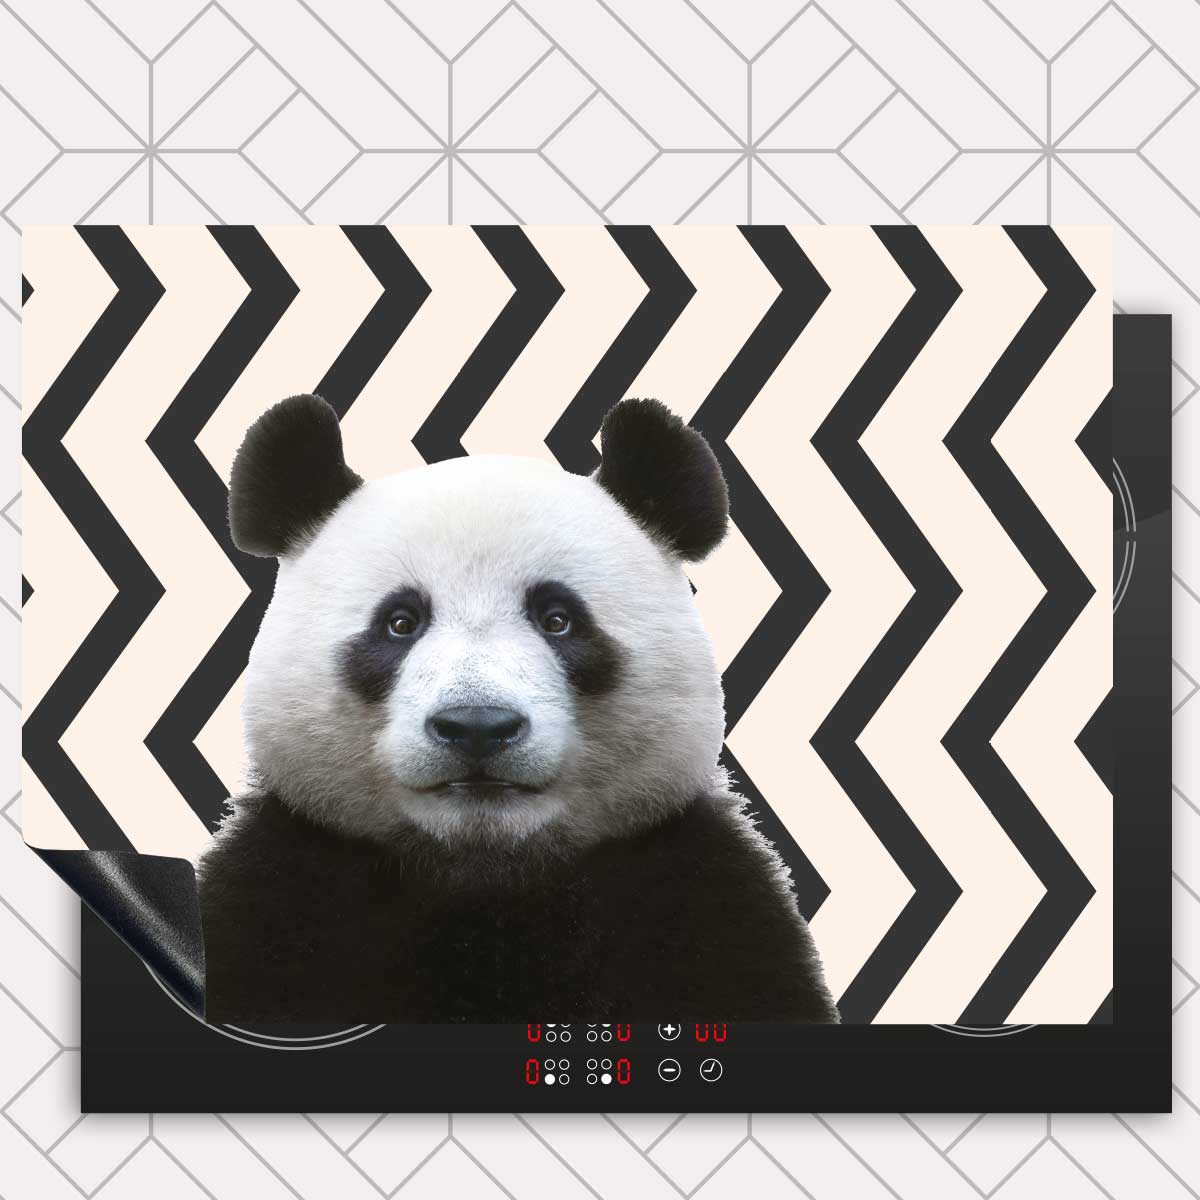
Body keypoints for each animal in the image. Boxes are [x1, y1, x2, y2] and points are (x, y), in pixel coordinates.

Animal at [197, 393, 838, 1025]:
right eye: (400, 622)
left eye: (558, 619)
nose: (477, 726)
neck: (488, 877)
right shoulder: (284, 894)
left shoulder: (697, 900)